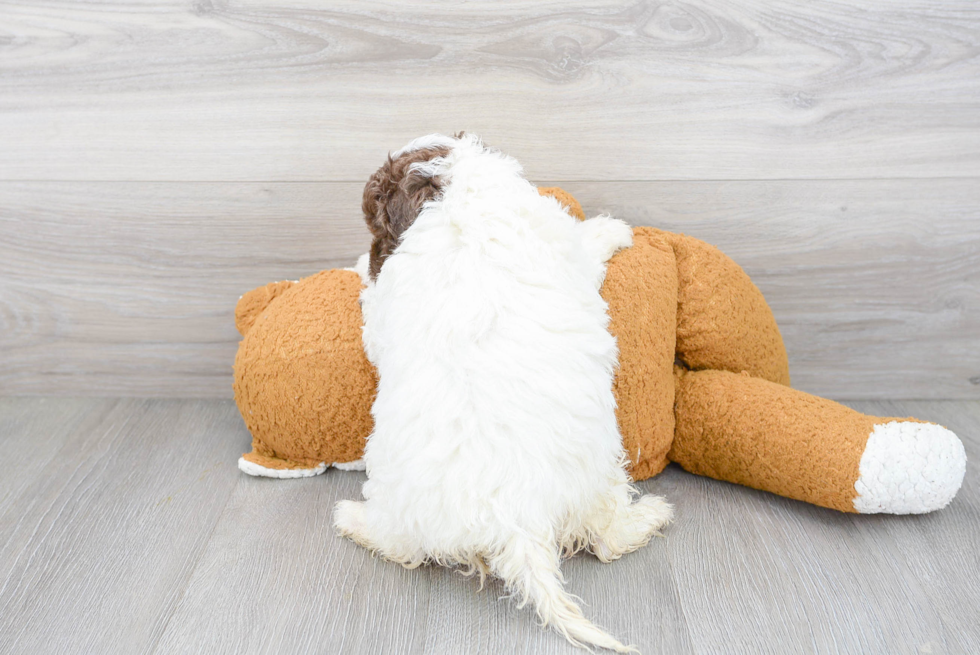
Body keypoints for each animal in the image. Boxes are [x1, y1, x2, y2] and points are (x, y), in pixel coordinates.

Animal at [336, 133, 672, 652]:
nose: (370, 253)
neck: (456, 193)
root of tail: (516, 523)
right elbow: (584, 244)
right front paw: (613, 228)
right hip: (600, 472)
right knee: (606, 539)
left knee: (400, 543)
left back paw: (351, 519)